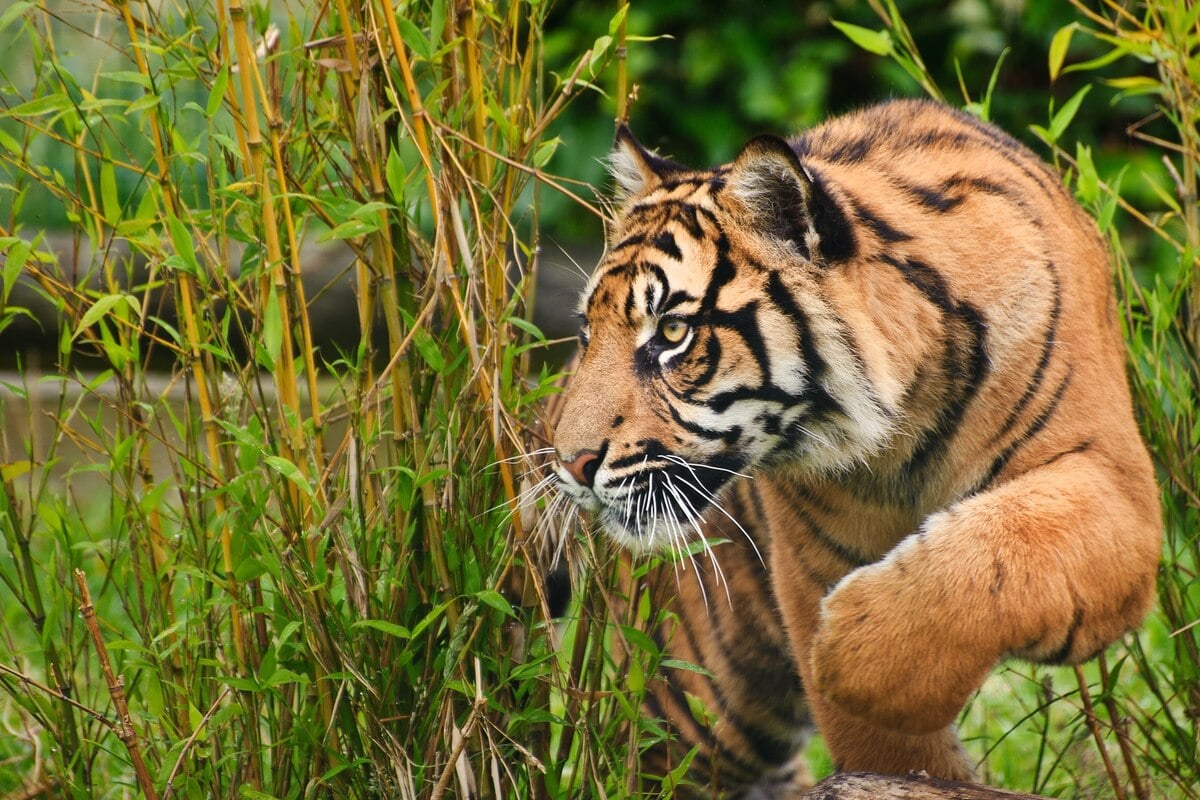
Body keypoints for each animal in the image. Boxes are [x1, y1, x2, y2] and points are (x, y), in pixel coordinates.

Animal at [528, 97, 1161, 796]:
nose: (570, 463)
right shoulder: (812, 568)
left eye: (671, 332)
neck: (905, 426)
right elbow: (885, 748)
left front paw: (848, 655)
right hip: (691, 698)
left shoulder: (1114, 486)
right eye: (587, 331)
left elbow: (1002, 547)